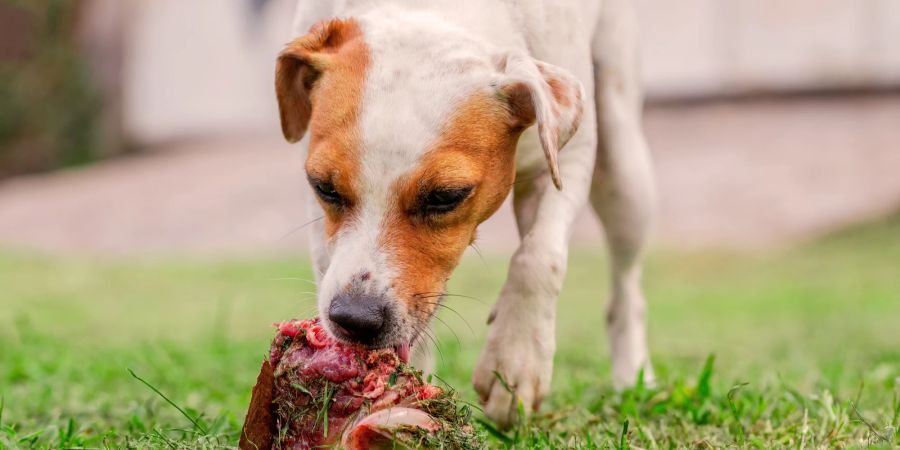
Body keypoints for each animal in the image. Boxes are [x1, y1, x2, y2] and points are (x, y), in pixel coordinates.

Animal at [274, 0, 652, 428]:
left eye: (445, 196)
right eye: (324, 187)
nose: (354, 318)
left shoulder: (567, 157)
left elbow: (539, 257)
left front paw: (515, 361)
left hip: (624, 170)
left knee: (626, 285)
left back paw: (633, 375)